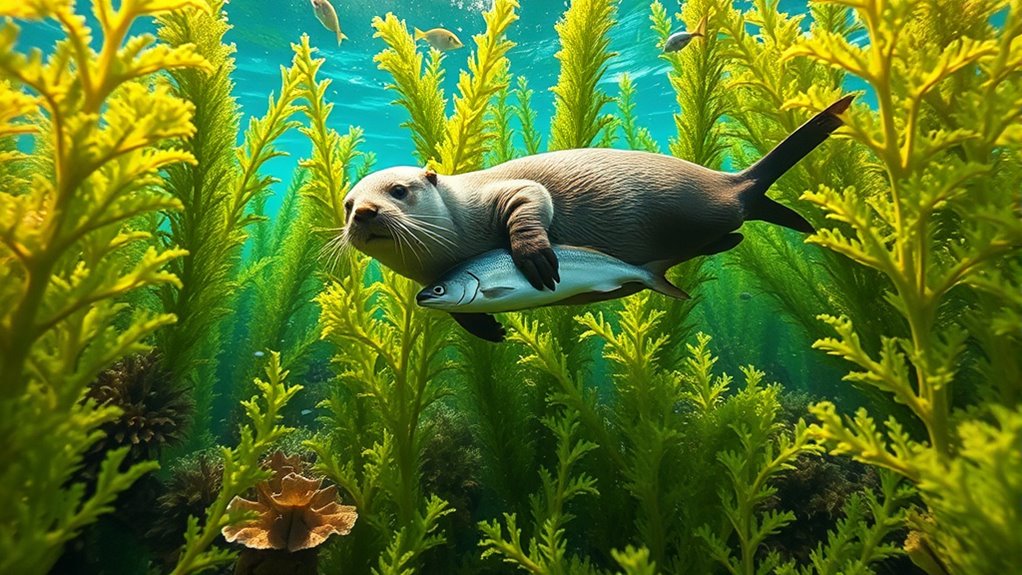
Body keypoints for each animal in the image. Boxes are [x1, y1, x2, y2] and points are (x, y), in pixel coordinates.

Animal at [340, 95, 853, 342]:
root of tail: (738, 181)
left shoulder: (501, 192)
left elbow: (531, 204)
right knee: (728, 236)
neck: (456, 221)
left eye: (399, 190)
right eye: (346, 203)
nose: (363, 211)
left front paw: (537, 261)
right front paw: (489, 330)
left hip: (717, 202)